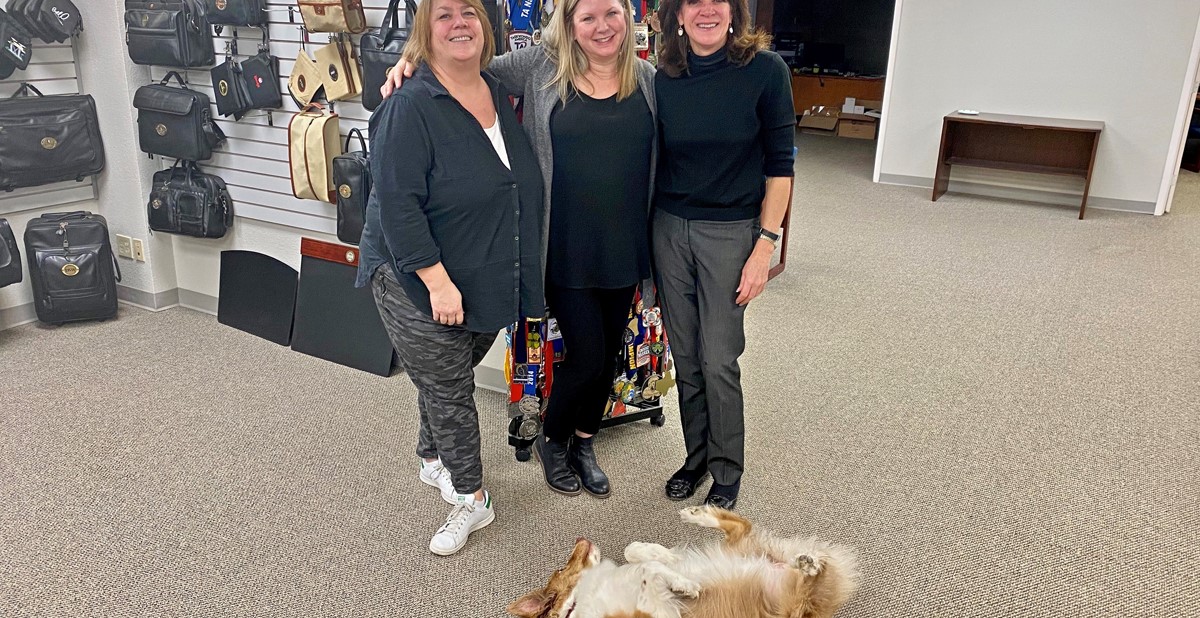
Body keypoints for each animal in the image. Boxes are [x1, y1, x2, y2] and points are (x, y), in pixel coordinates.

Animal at [507, 505, 860, 618]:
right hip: (792, 603)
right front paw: (685, 585)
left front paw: (679, 577)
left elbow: (637, 555)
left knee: (740, 525)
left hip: (744, 549)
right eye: (560, 567)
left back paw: (697, 514)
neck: (577, 606)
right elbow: (650, 570)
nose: (580, 538)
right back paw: (809, 564)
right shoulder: (650, 613)